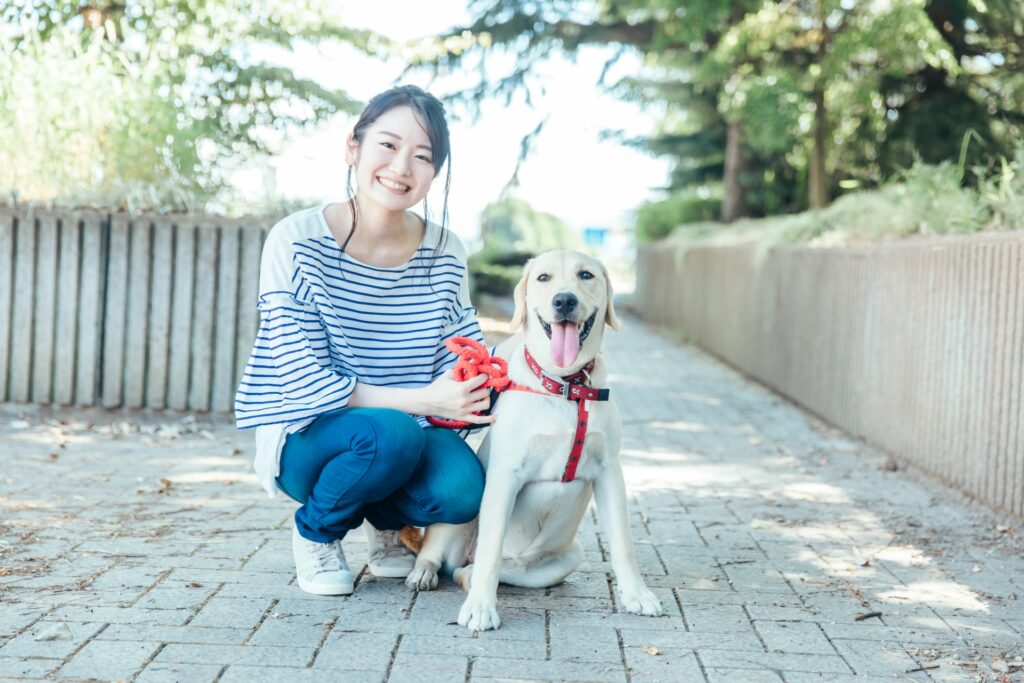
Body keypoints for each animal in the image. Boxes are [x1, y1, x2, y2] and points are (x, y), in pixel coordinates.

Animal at [407, 249, 663, 630]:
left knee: (477, 571)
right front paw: (480, 608)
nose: (564, 300)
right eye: (543, 278)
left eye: (585, 275)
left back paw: (468, 576)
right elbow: (490, 549)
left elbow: (623, 543)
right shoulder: (504, 477)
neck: (565, 386)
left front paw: (637, 594)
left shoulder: (609, 472)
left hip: (566, 557)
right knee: (440, 555)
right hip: (459, 519)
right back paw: (425, 573)